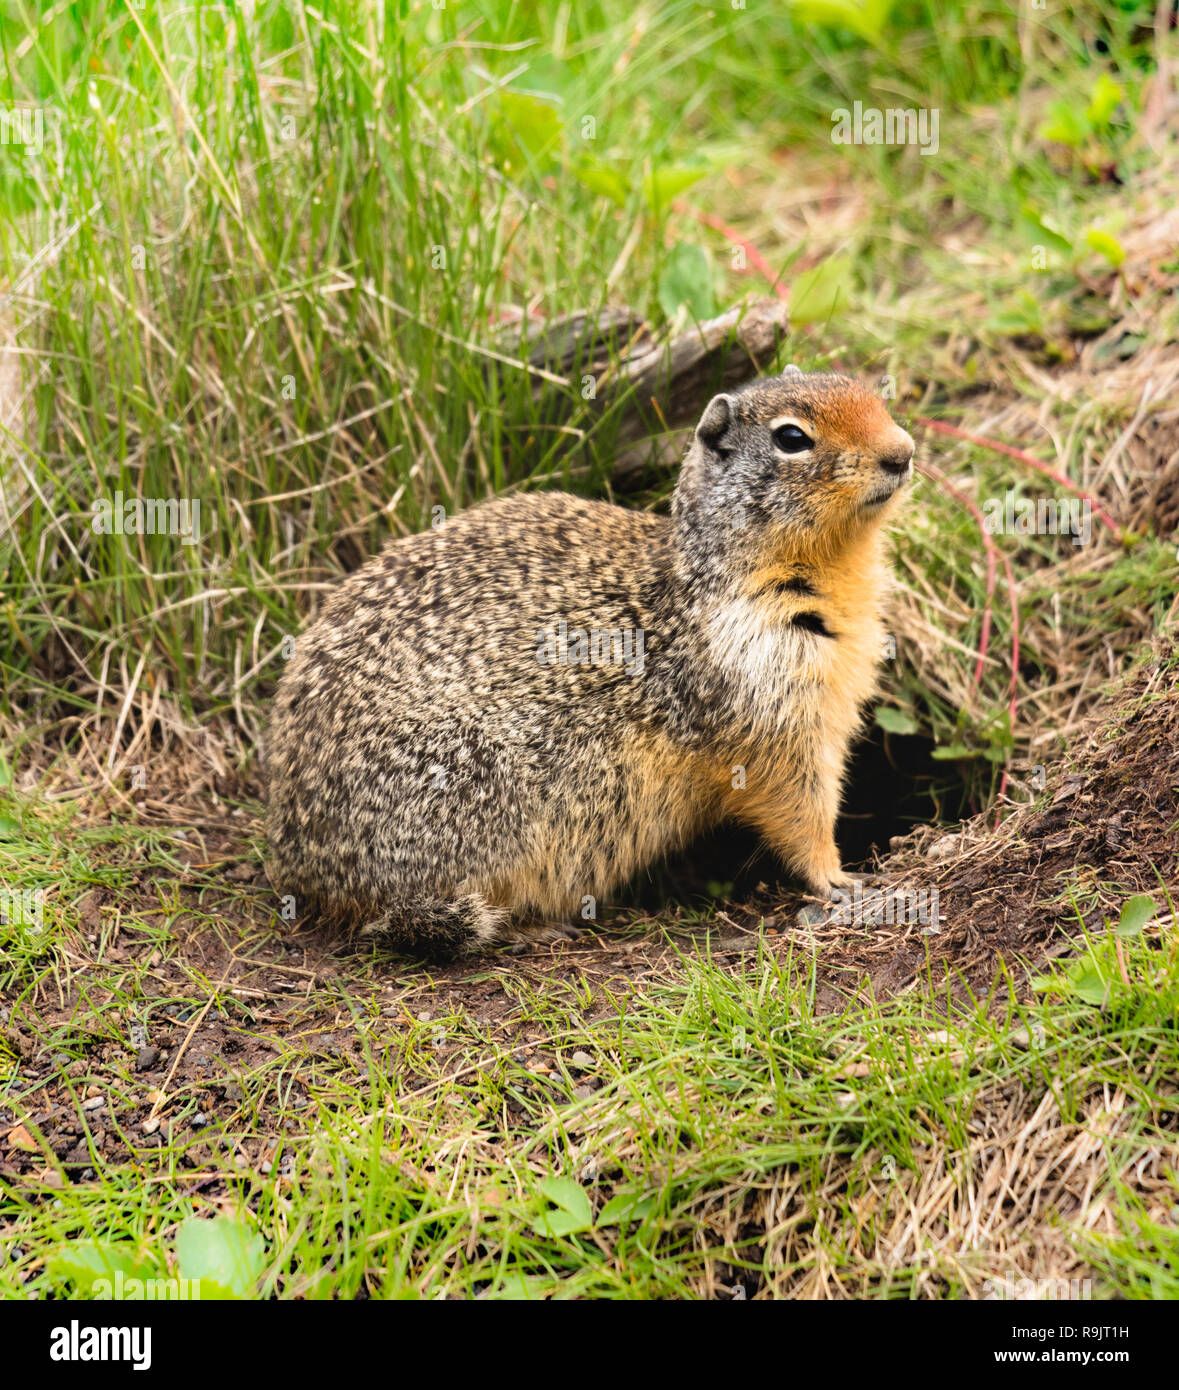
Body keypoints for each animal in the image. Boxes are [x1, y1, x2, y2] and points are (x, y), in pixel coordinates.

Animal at [264, 366, 912, 956]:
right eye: (792, 437)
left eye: (870, 395)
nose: (902, 453)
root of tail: (301, 865)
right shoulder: (769, 706)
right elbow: (800, 807)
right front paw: (839, 878)